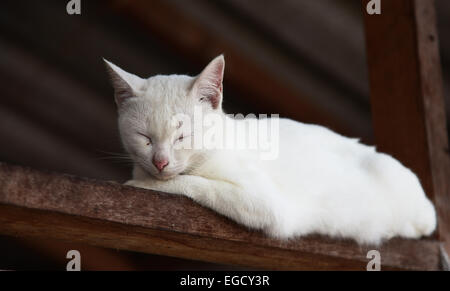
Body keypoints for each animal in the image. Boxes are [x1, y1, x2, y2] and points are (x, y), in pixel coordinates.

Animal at [104, 56, 436, 245]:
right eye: (144, 138)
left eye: (183, 136)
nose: (160, 162)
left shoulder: (264, 204)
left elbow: (191, 183)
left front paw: (140, 183)